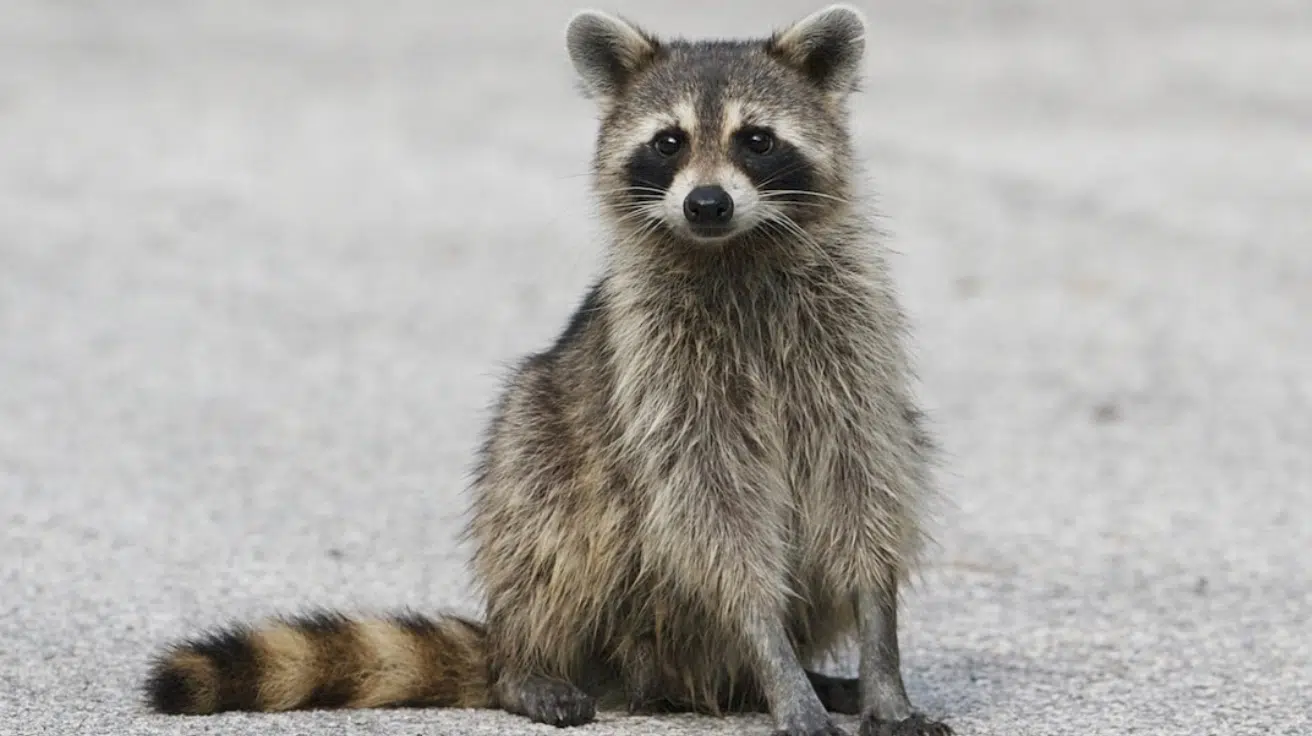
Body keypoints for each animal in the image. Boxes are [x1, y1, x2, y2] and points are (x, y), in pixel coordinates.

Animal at [143, 6, 952, 736]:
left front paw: (880, 663)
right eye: (668, 142)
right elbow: (713, 517)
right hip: (543, 437)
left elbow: (867, 488)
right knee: (548, 518)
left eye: (756, 140)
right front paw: (774, 658)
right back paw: (538, 666)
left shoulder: (850, 350)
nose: (707, 203)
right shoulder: (661, 372)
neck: (734, 251)